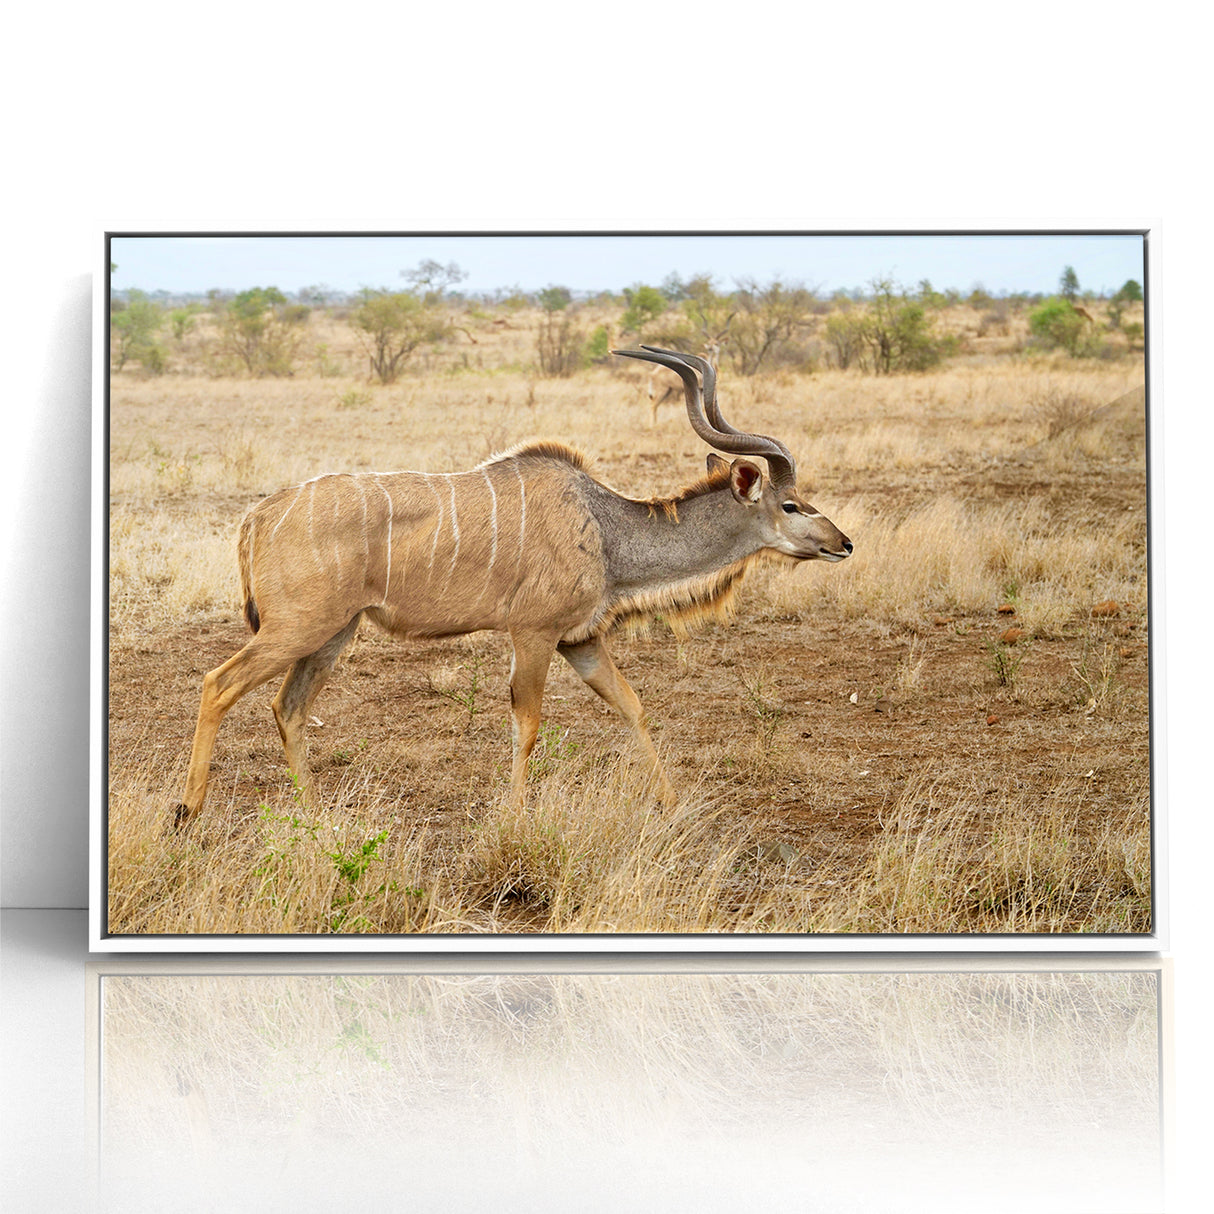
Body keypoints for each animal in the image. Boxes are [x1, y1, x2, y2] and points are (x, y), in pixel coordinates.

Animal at [175, 347, 852, 828]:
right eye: (791, 505)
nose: (843, 543)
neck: (604, 527)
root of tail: (259, 515)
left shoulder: (580, 640)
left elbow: (632, 705)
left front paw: (673, 803)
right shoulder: (533, 633)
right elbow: (527, 723)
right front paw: (518, 817)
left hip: (334, 633)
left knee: (288, 707)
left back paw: (314, 819)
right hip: (299, 627)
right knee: (219, 683)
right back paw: (188, 813)